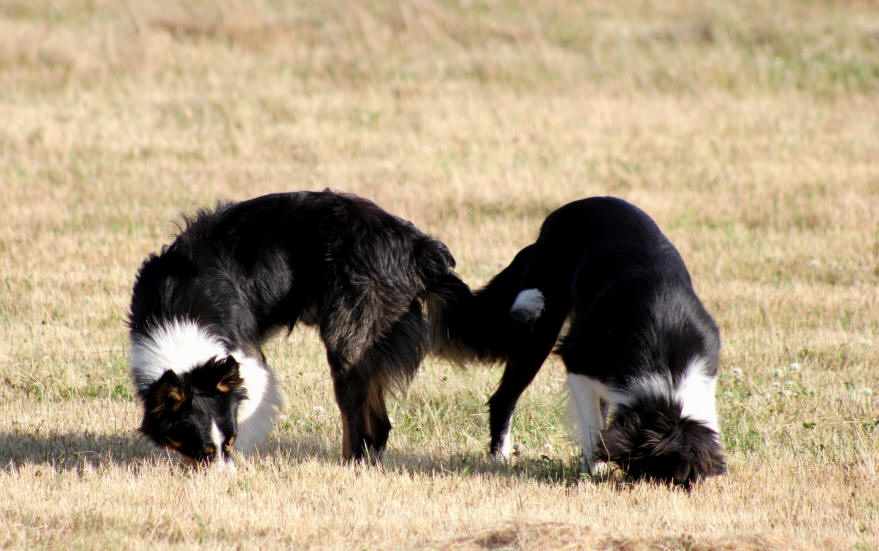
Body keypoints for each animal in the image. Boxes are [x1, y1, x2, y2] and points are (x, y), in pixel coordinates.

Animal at [127, 190, 470, 466]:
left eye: (224, 445)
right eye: (200, 450)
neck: (176, 310)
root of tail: (419, 247)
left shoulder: (246, 356)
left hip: (349, 342)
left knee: (360, 423)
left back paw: (349, 466)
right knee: (381, 425)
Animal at [458, 197, 724, 488]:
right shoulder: (578, 359)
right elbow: (593, 425)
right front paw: (592, 469)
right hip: (539, 322)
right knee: (504, 398)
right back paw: (499, 456)